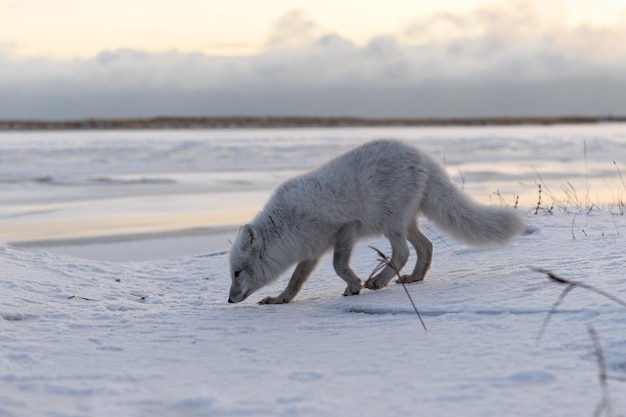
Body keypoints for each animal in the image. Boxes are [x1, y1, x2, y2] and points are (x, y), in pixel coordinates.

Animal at [227, 138, 524, 304]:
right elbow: (295, 281)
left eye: (237, 273)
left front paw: (354, 285)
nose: (229, 299)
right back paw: (414, 278)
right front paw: (280, 300)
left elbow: (338, 265)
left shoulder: (346, 228)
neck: (288, 223)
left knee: (403, 252)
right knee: (426, 246)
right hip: (404, 222)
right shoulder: (311, 252)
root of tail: (425, 158)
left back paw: (379, 281)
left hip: (390, 223)